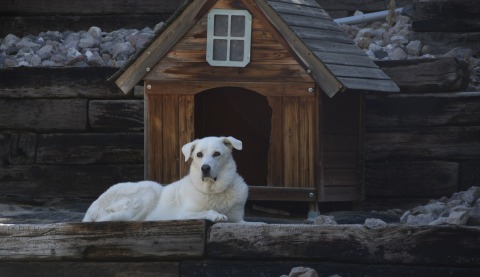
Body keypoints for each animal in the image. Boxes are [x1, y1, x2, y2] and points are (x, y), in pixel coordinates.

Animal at [82, 135, 248, 222]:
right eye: (199, 154)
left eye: (217, 154)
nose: (205, 168)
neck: (214, 190)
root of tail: (93, 206)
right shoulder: (183, 214)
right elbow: (207, 211)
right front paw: (217, 215)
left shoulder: (239, 220)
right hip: (150, 189)